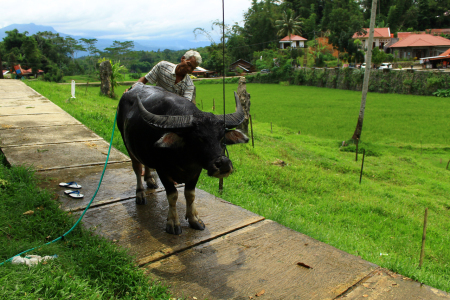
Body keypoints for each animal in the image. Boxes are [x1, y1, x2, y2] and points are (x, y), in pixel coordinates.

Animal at [118, 82, 248, 234]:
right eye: (197, 138)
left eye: (221, 137)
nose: (224, 164)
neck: (184, 159)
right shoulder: (162, 170)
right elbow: (173, 195)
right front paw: (173, 223)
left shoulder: (196, 171)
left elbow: (190, 194)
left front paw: (194, 219)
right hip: (127, 144)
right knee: (137, 168)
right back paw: (140, 194)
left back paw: (150, 180)